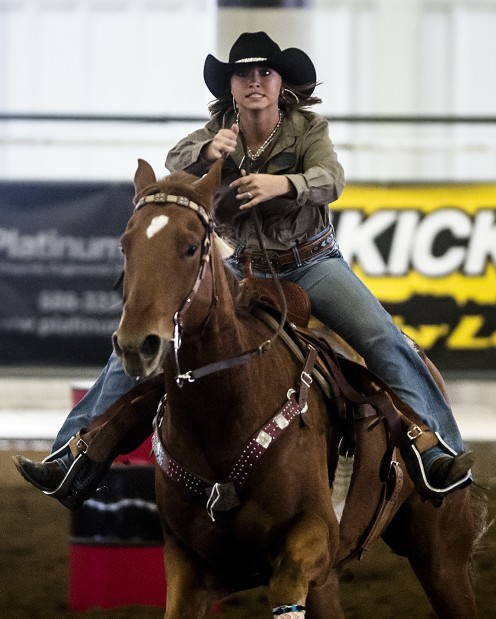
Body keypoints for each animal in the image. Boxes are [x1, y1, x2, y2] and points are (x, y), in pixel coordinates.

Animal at [112, 157, 484, 616]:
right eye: (125, 246)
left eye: (190, 247)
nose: (137, 344)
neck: (224, 412)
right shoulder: (189, 566)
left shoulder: (310, 539)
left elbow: (288, 583)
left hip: (443, 554)